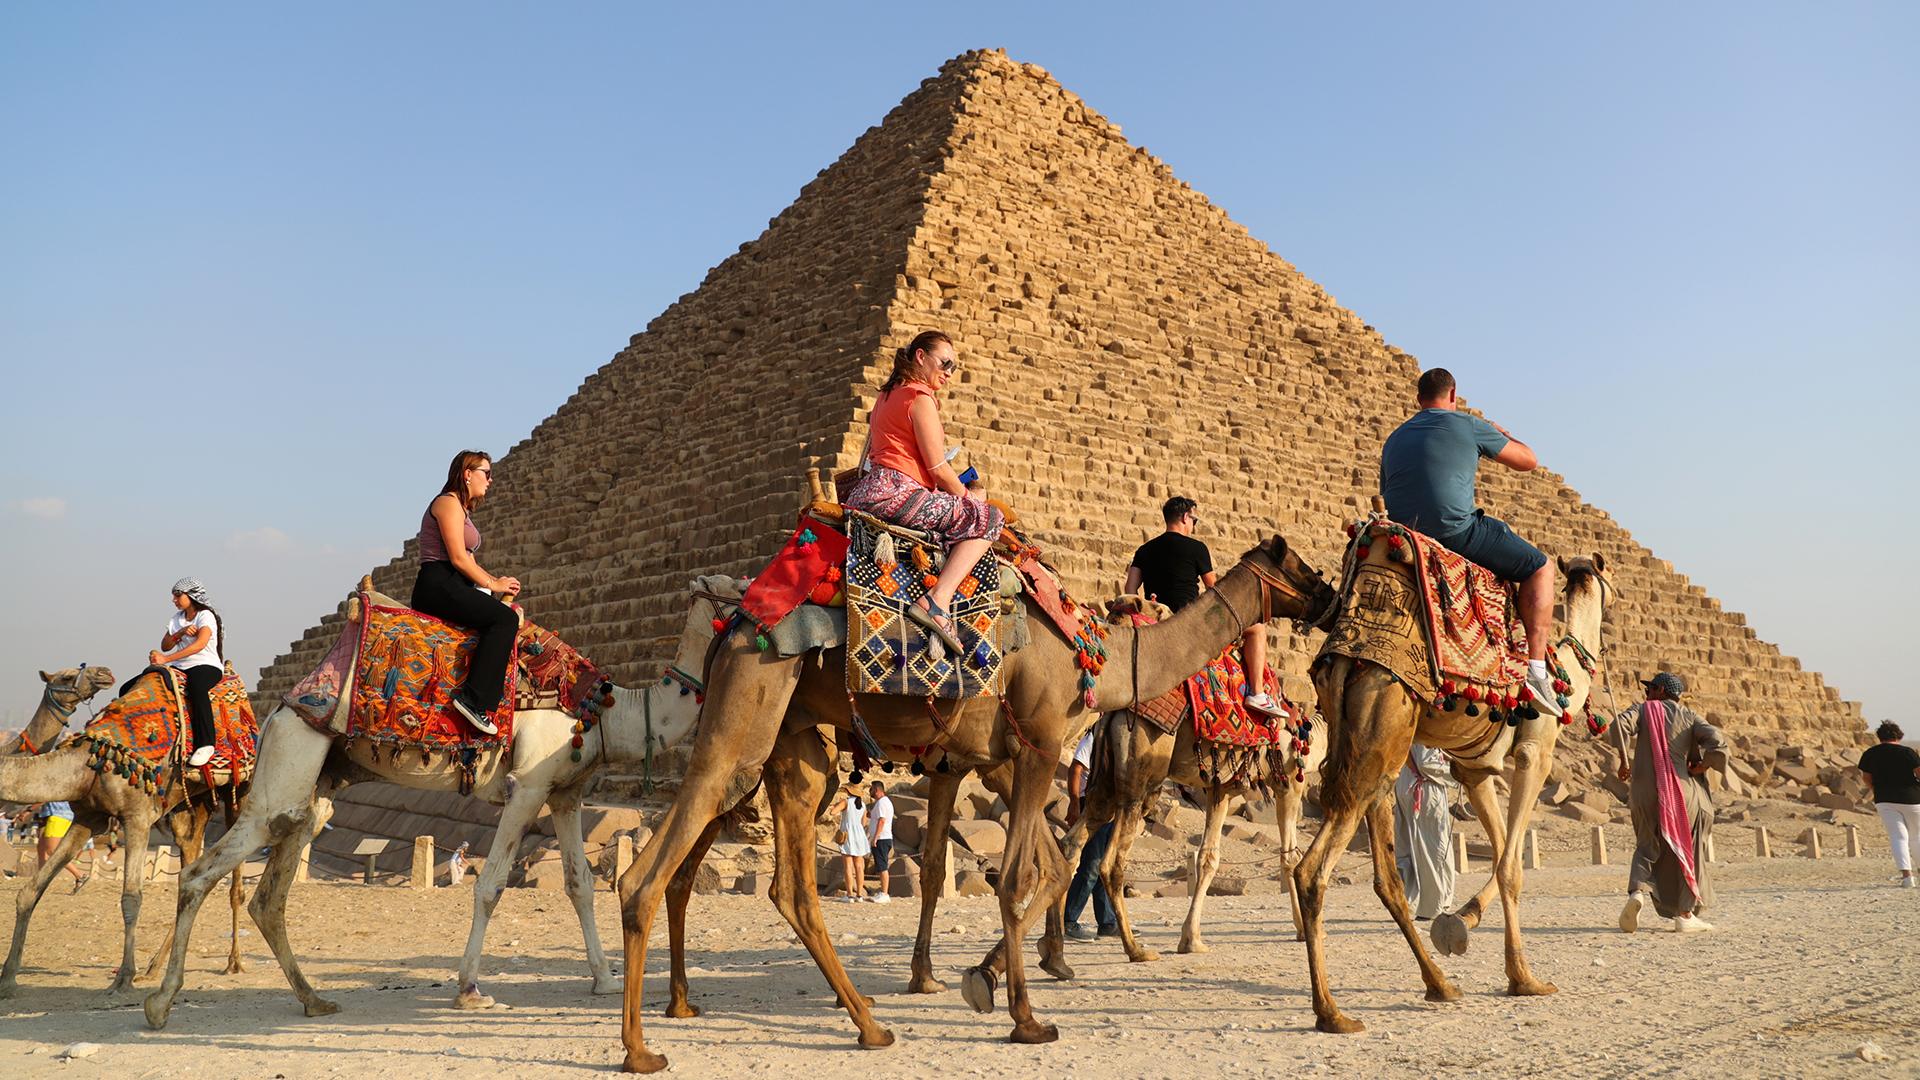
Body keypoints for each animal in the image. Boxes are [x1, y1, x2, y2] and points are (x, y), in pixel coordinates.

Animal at [0, 664, 251, 991]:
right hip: (191, 803)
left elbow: (131, 898)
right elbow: (30, 891)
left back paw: (234, 962)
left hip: (241, 789)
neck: (87, 763)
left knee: (235, 882)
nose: (102, 672)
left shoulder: (137, 817)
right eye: (65, 676)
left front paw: (123, 977)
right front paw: (8, 976)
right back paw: (156, 967)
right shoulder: (87, 818)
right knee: (190, 871)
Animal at [614, 530, 1336, 1068]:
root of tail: (731, 624)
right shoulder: (1038, 745)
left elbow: (1018, 866)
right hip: (751, 704)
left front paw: (973, 979)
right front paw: (1022, 1015)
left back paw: (864, 1024)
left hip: (795, 743)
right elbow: (1021, 874)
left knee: (785, 882)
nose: (1332, 599)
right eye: (1302, 566)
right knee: (656, 865)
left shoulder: (994, 760)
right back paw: (643, 1046)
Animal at [1290, 549, 1605, 1030]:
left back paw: (1439, 984)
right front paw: (1524, 978)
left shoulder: (1474, 769)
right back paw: (1332, 1013)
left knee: (1387, 879)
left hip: (1373, 761)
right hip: (1378, 746)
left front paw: (1461, 922)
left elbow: (1502, 853)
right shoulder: (1535, 752)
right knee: (1311, 872)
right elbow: (1511, 865)